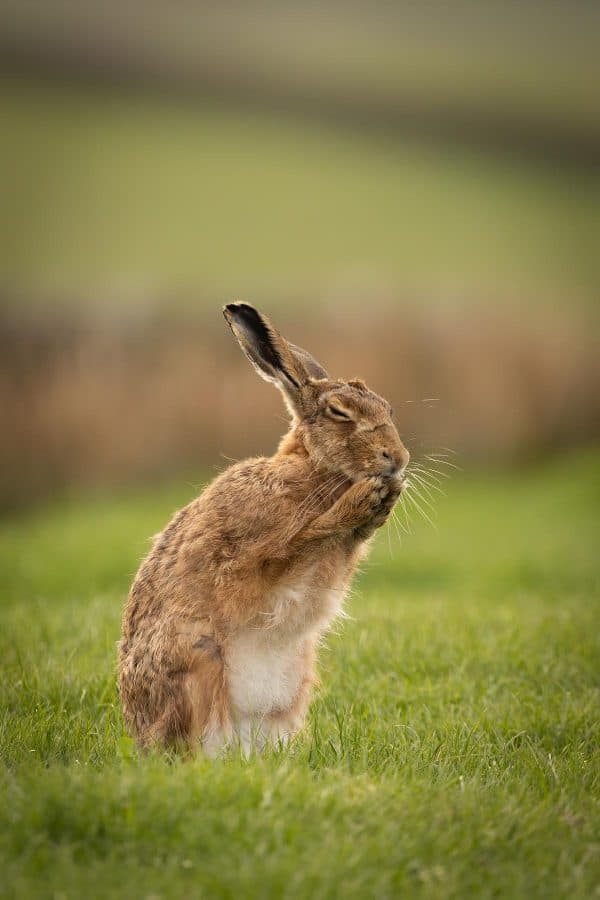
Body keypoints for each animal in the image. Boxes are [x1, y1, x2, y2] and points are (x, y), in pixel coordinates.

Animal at [118, 303, 410, 755]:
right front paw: (362, 499)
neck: (311, 469)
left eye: (388, 410)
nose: (398, 459)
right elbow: (300, 543)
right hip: (198, 661)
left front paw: (384, 500)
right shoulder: (248, 560)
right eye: (340, 412)